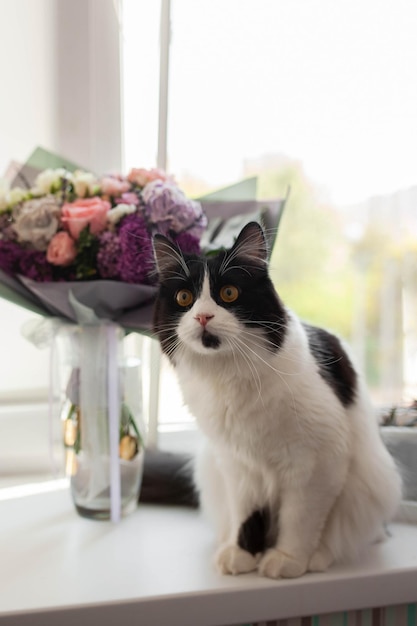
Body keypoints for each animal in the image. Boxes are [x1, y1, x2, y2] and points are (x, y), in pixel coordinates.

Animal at [151, 222, 402, 576]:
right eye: (184, 298)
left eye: (229, 293)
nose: (202, 317)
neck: (231, 374)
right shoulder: (237, 464)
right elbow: (245, 514)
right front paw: (242, 554)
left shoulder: (317, 464)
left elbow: (300, 519)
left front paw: (287, 559)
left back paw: (319, 556)